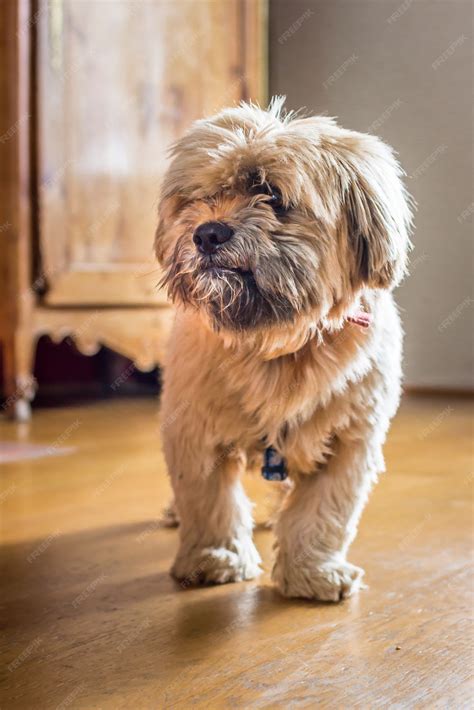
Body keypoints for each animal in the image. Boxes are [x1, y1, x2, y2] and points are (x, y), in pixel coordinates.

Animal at [155, 98, 412, 600]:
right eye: (198, 198)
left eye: (271, 196)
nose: (207, 233)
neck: (279, 344)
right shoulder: (194, 432)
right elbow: (208, 503)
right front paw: (216, 558)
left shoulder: (349, 443)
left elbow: (323, 513)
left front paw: (313, 572)